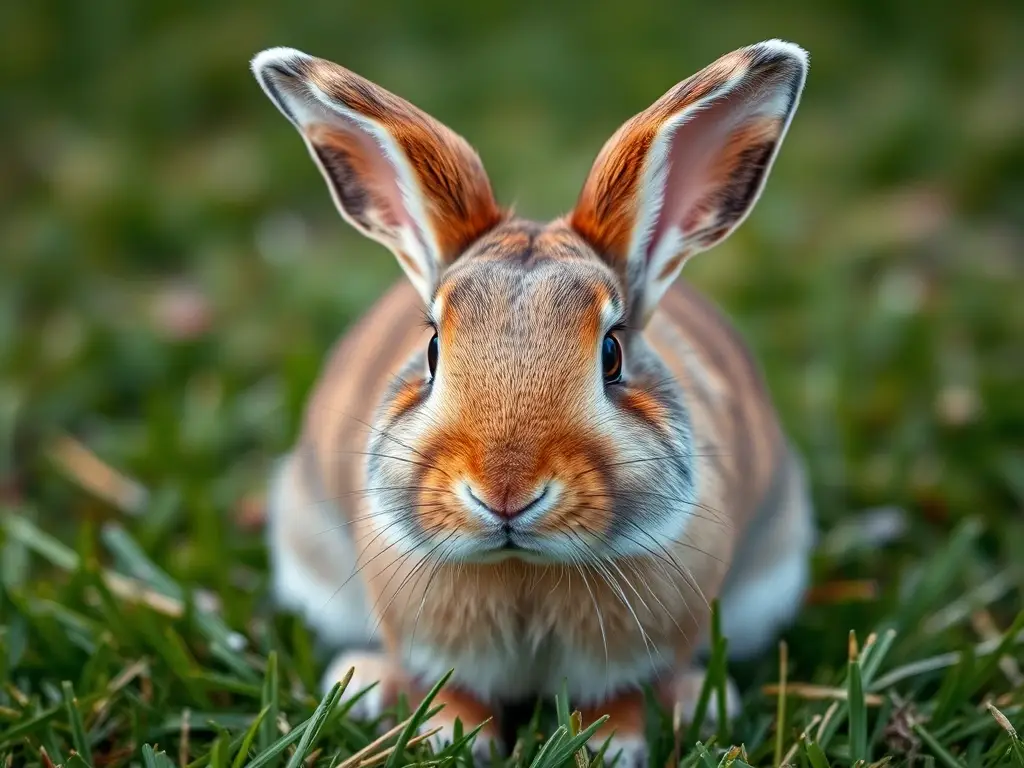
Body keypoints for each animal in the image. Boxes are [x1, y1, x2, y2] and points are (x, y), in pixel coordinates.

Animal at [251, 39, 815, 765]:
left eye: (612, 354)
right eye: (432, 348)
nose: (505, 493)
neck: (523, 569)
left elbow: (618, 695)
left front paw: (614, 744)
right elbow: (453, 689)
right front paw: (447, 735)